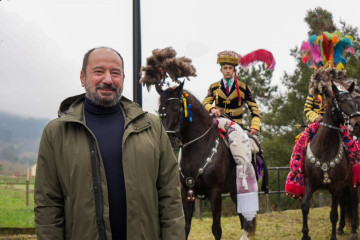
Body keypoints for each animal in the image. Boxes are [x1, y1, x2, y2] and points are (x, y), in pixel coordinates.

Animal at [155, 81, 268, 239]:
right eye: (161, 111)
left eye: (177, 109)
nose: (167, 139)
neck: (199, 148)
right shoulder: (187, 192)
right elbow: (185, 227)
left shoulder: (215, 193)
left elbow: (216, 229)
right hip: (233, 191)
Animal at [300, 81, 360, 240]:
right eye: (341, 100)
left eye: (354, 101)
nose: (357, 123)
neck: (324, 149)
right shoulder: (310, 183)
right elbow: (305, 207)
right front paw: (305, 235)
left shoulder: (336, 186)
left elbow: (333, 214)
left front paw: (333, 236)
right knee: (344, 204)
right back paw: (340, 228)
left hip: (352, 184)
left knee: (353, 203)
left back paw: (353, 231)